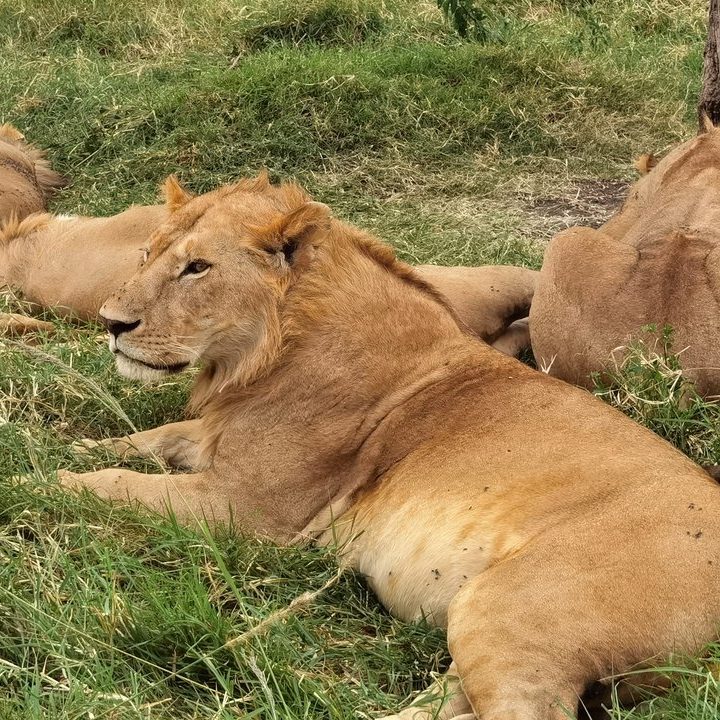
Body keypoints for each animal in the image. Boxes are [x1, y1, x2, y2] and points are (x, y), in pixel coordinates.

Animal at [62, 174, 720, 720]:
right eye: (146, 254)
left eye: (197, 267)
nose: (111, 322)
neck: (257, 358)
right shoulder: (213, 442)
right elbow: (145, 440)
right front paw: (71, 449)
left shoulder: (245, 511)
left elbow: (116, 483)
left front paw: (46, 483)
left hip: (514, 609)